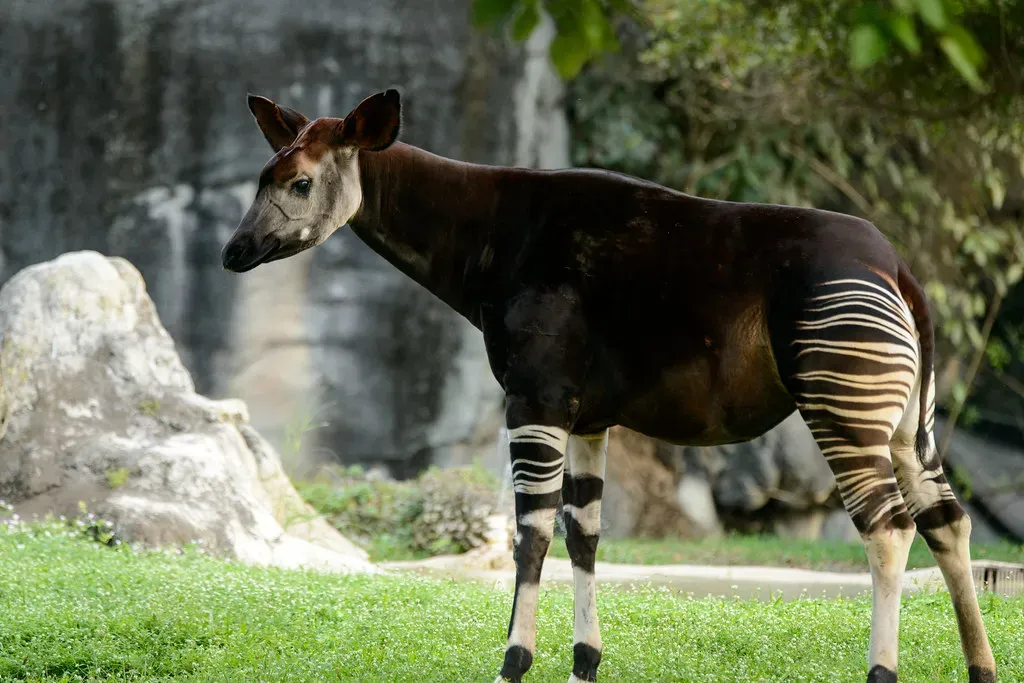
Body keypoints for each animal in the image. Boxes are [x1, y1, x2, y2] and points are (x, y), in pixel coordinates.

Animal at [220, 88, 998, 683]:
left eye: (299, 184)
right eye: (260, 179)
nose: (234, 251)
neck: (491, 237)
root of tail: (898, 269)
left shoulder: (533, 399)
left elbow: (531, 533)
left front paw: (512, 662)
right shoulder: (587, 416)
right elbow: (585, 534)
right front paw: (583, 664)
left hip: (842, 405)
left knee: (889, 527)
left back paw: (882, 671)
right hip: (907, 422)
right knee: (946, 519)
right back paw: (981, 668)